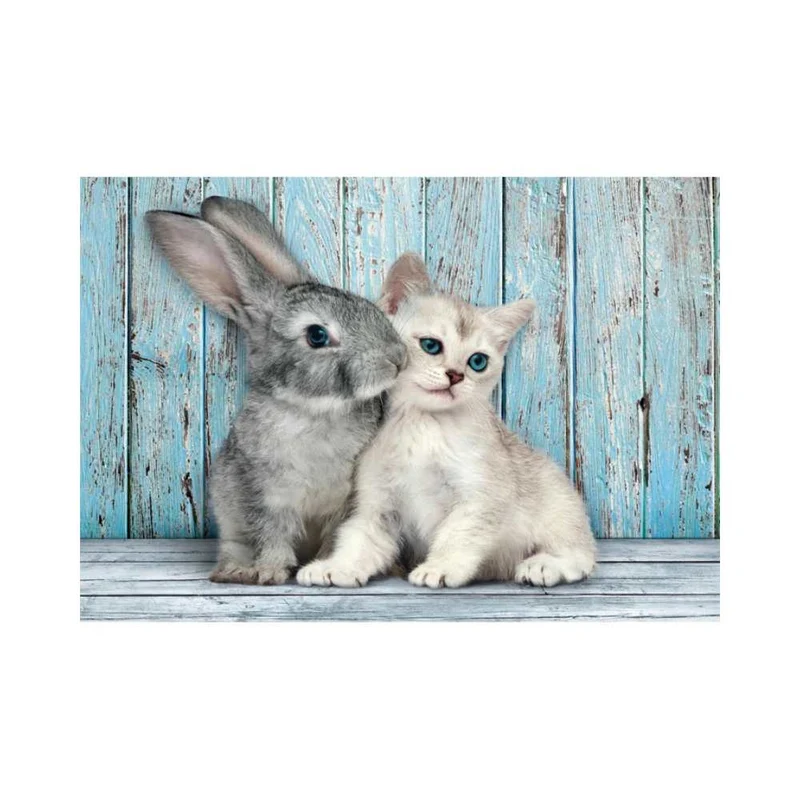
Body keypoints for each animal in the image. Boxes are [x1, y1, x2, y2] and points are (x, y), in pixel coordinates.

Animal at [146, 197, 407, 584]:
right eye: (317, 335)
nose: (398, 358)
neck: (311, 410)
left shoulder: (344, 502)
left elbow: (333, 537)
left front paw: (322, 567)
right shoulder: (263, 495)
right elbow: (272, 536)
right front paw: (269, 573)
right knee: (233, 546)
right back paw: (232, 571)